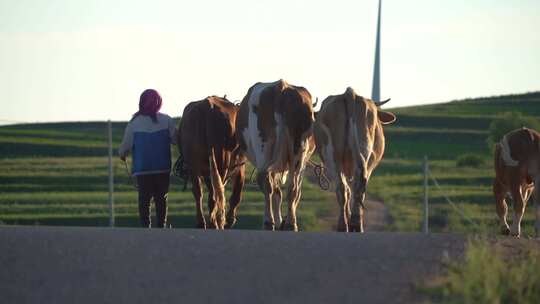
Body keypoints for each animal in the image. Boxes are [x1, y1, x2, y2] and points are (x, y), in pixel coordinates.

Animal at [177, 96, 245, 229]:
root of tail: (207, 107)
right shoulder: (240, 169)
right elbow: (236, 194)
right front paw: (230, 219)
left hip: (195, 167)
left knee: (199, 192)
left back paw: (202, 222)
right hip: (221, 164)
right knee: (216, 194)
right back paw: (216, 223)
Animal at [236, 79, 316, 232]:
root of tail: (281, 87)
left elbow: (276, 190)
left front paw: (278, 220)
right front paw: (280, 220)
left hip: (264, 149)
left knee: (268, 183)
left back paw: (270, 221)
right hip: (298, 153)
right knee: (292, 188)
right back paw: (290, 223)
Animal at [312, 88, 396, 233]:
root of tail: (349, 93)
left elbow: (348, 190)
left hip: (335, 156)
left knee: (345, 188)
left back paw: (348, 224)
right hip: (361, 154)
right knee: (356, 186)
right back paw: (353, 223)